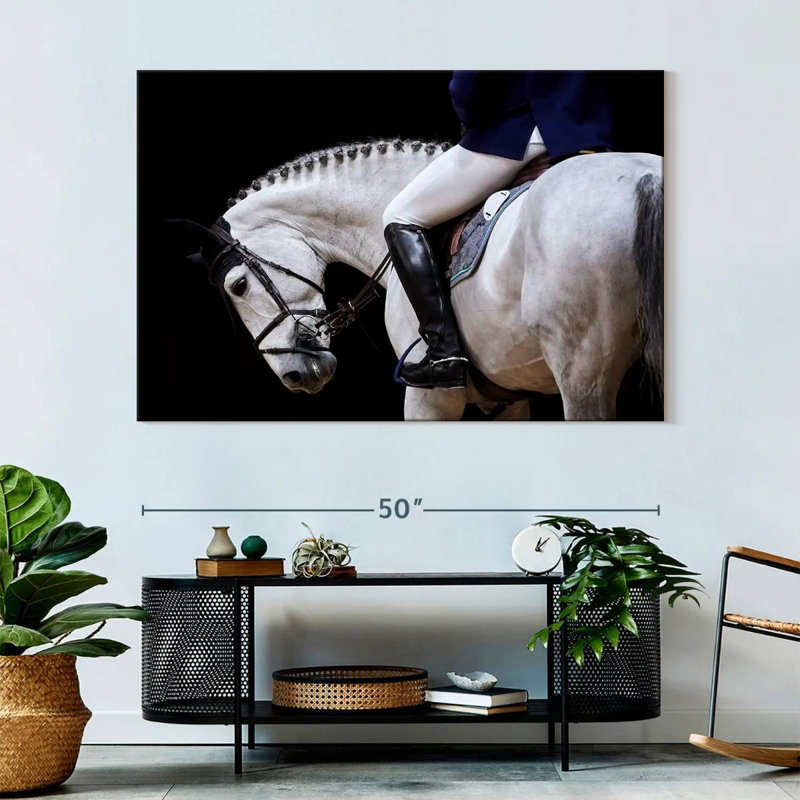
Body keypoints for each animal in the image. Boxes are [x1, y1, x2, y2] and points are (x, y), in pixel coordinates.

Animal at [172, 139, 663, 421]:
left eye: (238, 286)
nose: (295, 375)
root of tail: (646, 178)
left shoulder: (429, 398)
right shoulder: (508, 399)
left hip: (582, 377)